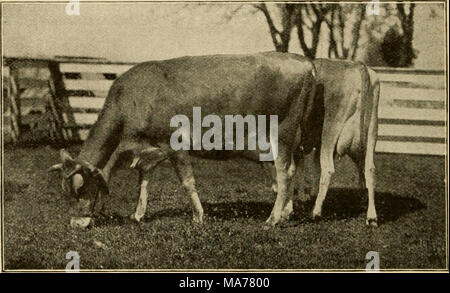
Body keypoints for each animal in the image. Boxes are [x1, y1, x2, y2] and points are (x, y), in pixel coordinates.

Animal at [48, 52, 316, 226]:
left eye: (81, 188)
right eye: (64, 191)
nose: (76, 224)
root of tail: (302, 60)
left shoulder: (173, 144)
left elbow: (187, 182)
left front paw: (199, 216)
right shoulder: (150, 150)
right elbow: (143, 181)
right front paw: (138, 214)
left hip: (282, 133)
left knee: (284, 173)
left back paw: (272, 219)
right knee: (291, 171)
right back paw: (285, 213)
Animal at [270, 58, 380, 226]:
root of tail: (357, 65)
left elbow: (292, 169)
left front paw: (287, 209)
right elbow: (303, 168)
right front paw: (303, 198)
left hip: (330, 130)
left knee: (328, 169)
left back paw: (316, 212)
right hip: (371, 132)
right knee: (369, 169)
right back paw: (371, 216)